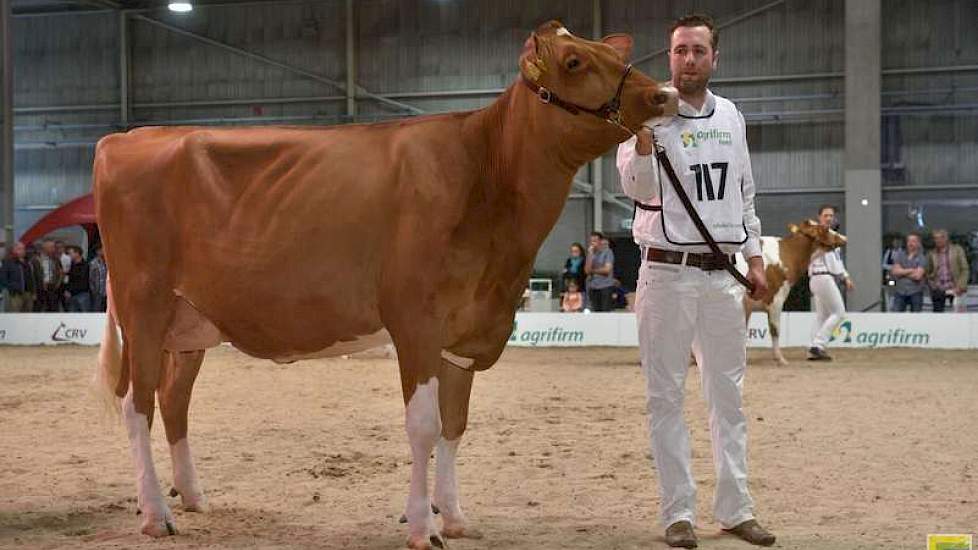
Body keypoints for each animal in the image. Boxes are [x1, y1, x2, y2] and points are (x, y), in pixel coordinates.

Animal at [95, 22, 680, 550]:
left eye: (611, 52)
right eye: (575, 62)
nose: (666, 94)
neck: (484, 177)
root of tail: (127, 137)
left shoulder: (466, 334)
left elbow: (454, 424)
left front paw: (455, 518)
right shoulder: (416, 322)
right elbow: (422, 424)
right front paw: (423, 527)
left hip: (189, 324)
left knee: (173, 399)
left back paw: (192, 498)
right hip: (142, 304)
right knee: (136, 404)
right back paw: (156, 514)